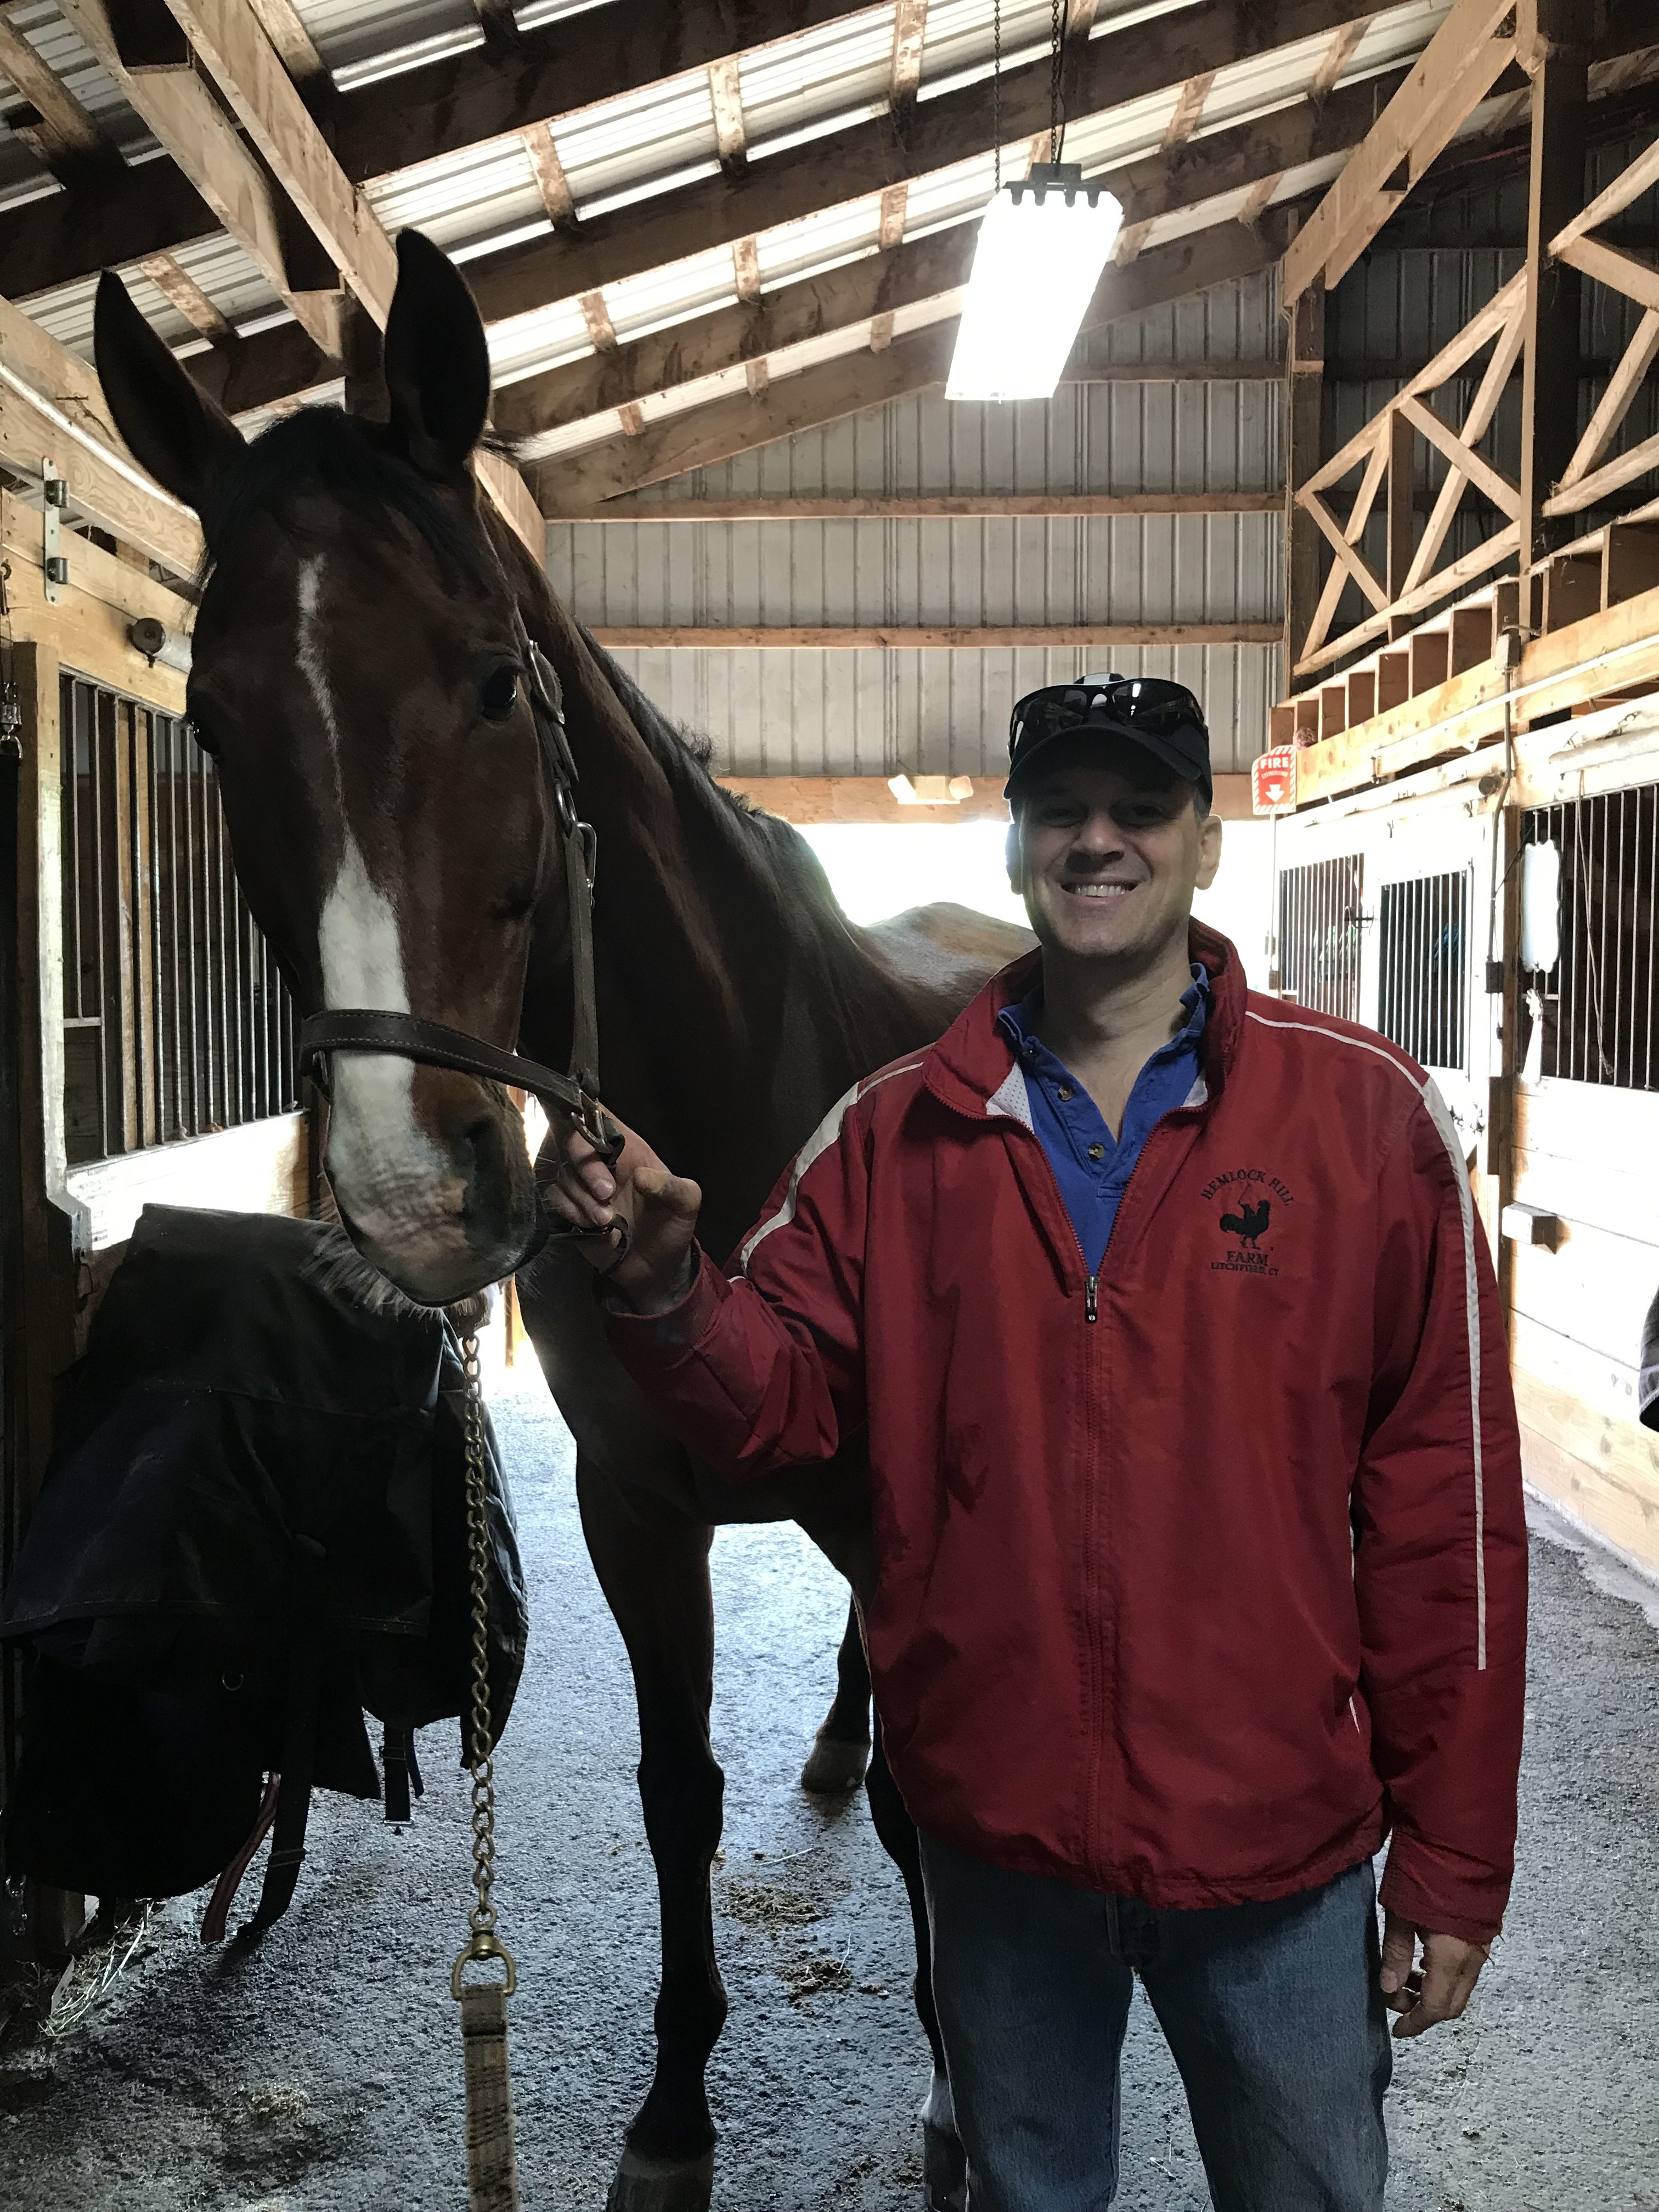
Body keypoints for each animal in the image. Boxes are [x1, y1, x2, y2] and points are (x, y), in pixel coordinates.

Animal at [94, 229, 1031, 2212]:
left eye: (490, 687)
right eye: (212, 721)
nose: (407, 1186)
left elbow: (940, 1803)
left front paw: (957, 2091)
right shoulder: (636, 1504)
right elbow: (680, 1794)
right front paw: (673, 2113)